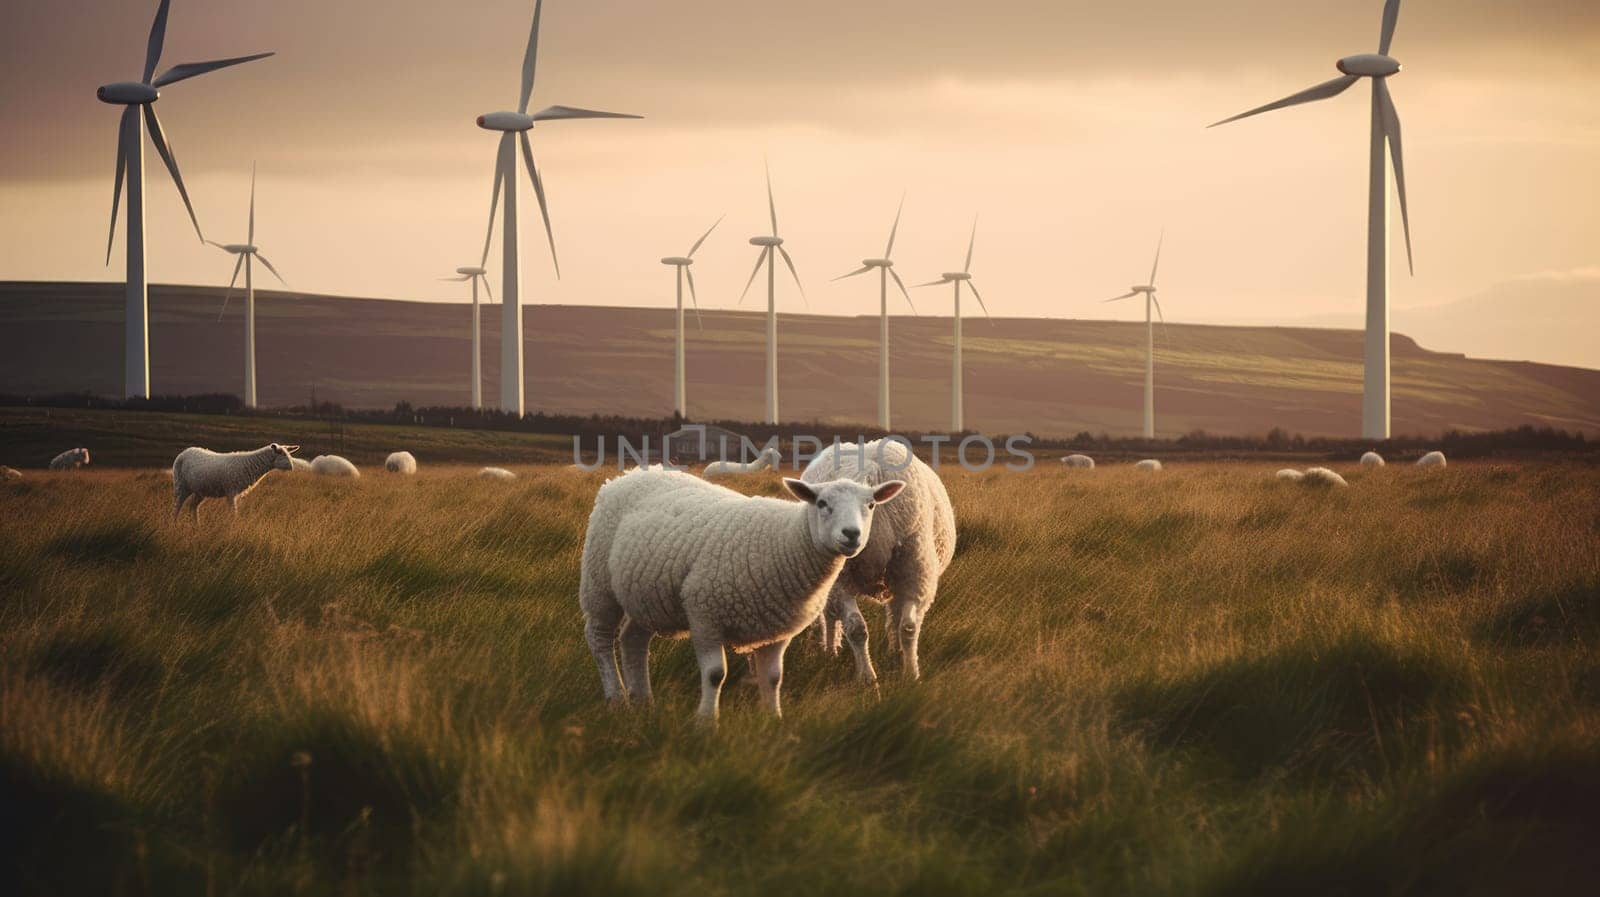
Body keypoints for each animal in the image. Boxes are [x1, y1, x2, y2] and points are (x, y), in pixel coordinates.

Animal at [172, 441, 300, 518]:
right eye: (281, 454)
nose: (292, 467)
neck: (250, 465)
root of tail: (186, 451)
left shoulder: (234, 494)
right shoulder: (231, 492)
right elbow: (233, 513)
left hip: (201, 490)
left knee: (192, 507)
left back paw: (196, 527)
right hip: (181, 485)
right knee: (177, 507)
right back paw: (175, 524)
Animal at [579, 463, 908, 716]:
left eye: (871, 505)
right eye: (822, 504)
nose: (851, 534)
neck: (786, 540)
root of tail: (629, 474)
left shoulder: (777, 628)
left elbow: (773, 678)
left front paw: (772, 719)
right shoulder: (705, 615)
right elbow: (715, 675)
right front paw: (707, 722)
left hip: (645, 595)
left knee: (632, 639)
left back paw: (643, 700)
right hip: (599, 583)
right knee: (600, 638)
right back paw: (617, 698)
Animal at [806, 438, 953, 681]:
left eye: (869, 505)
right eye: (825, 505)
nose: (850, 534)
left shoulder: (915, 577)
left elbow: (909, 627)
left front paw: (911, 674)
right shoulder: (840, 582)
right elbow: (856, 629)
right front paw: (867, 677)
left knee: (895, 615)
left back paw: (895, 652)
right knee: (830, 615)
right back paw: (830, 651)